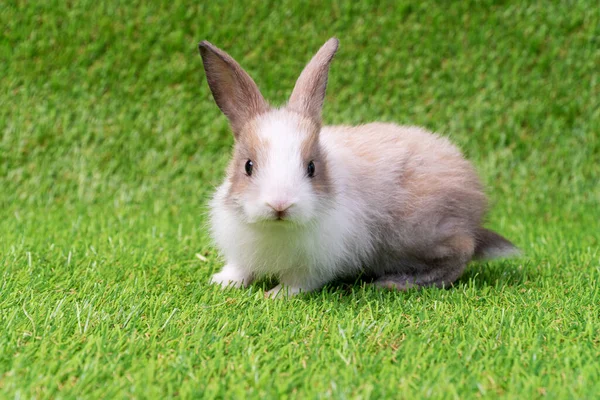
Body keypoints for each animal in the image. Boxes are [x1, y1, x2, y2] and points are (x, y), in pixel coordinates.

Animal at [199, 37, 516, 296]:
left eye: (311, 167)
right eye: (248, 166)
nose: (280, 205)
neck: (276, 229)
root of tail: (475, 212)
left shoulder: (318, 261)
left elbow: (298, 282)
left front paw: (275, 295)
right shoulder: (241, 251)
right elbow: (240, 268)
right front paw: (222, 282)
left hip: (421, 234)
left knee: (461, 253)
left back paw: (397, 282)